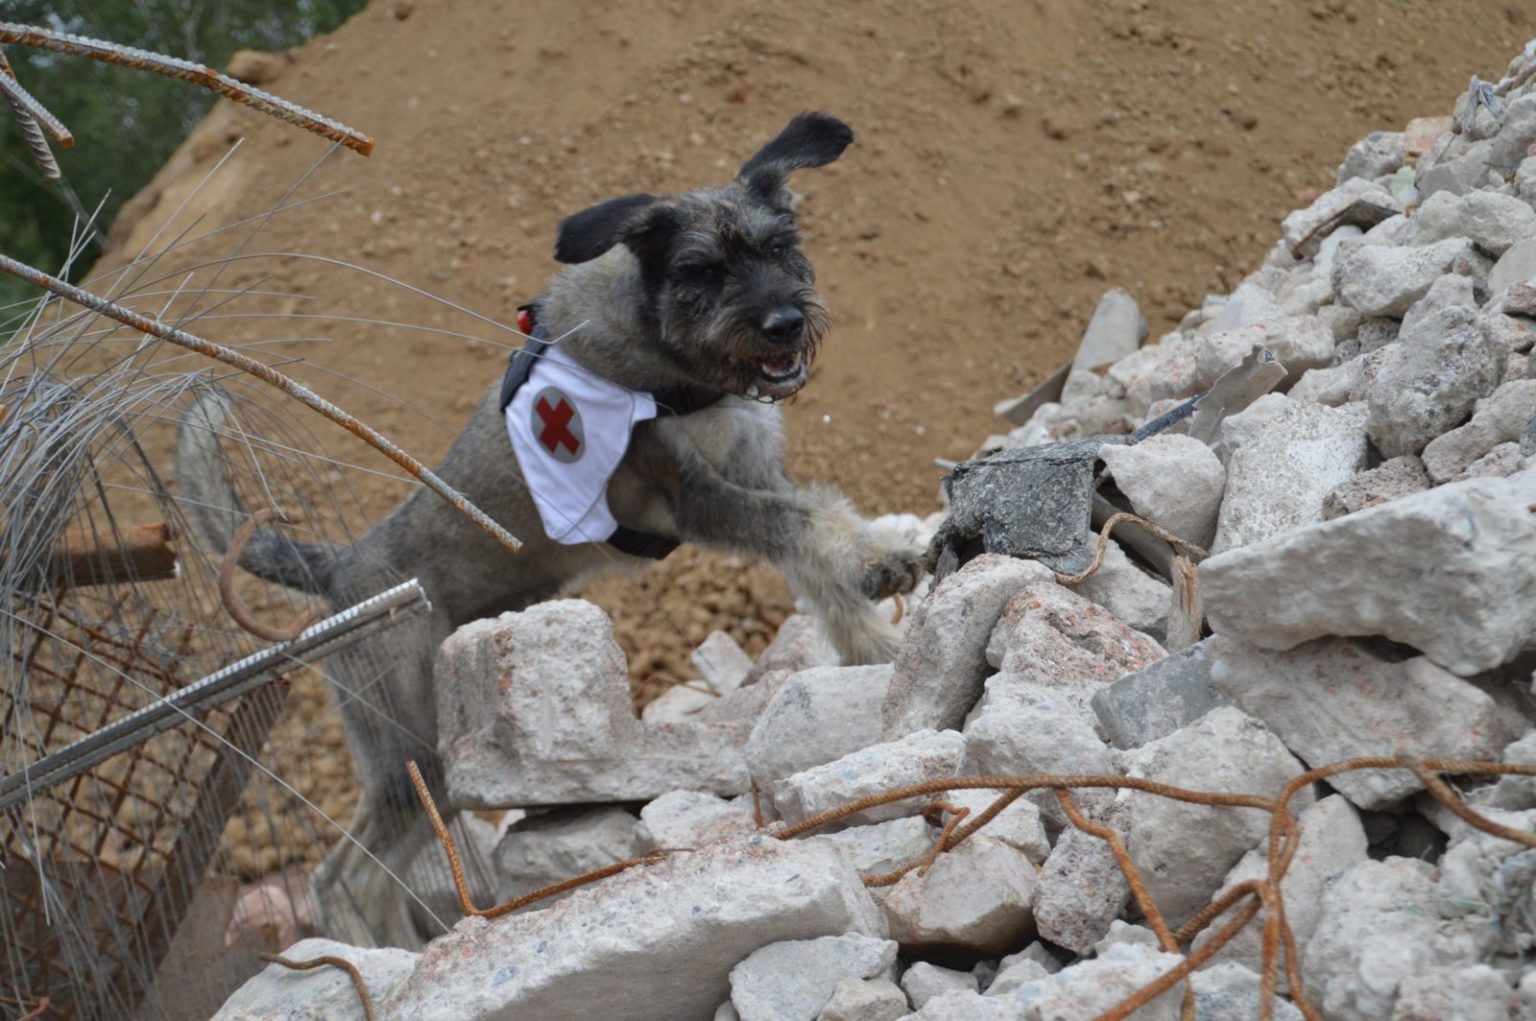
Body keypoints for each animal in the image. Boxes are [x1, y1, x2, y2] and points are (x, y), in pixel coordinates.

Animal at [179, 113, 921, 945]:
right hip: (407, 747)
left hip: (431, 766)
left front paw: (875, 625)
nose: (784, 323)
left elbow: (817, 550)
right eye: (700, 268)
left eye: (780, 244)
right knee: (341, 877)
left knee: (373, 877)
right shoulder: (699, 498)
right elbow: (807, 523)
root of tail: (339, 569)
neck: (676, 359)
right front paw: (881, 578)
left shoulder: (756, 474)